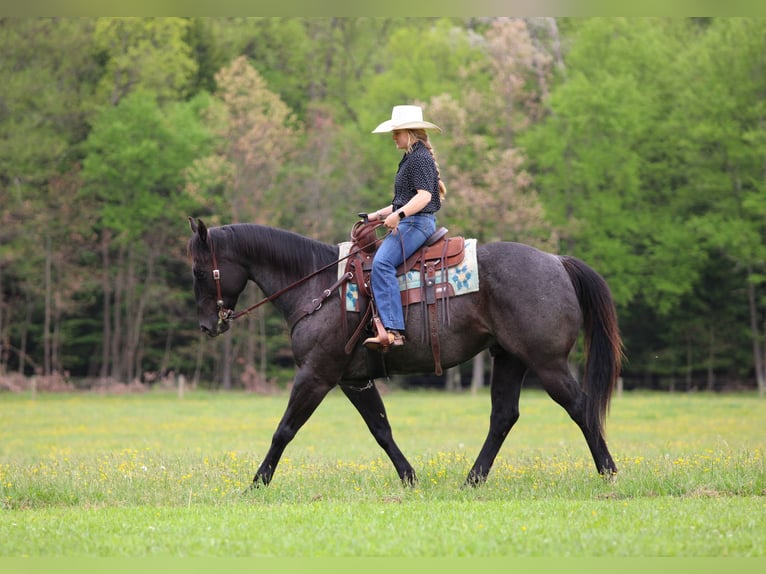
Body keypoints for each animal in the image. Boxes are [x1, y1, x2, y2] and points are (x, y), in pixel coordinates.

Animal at [187, 217, 623, 487]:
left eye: (198, 270)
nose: (208, 325)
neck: (318, 286)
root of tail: (557, 261)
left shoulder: (316, 374)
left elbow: (284, 429)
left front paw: (256, 483)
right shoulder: (354, 380)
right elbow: (381, 430)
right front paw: (410, 478)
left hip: (547, 364)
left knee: (580, 407)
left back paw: (609, 472)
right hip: (509, 359)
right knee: (503, 417)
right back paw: (471, 480)